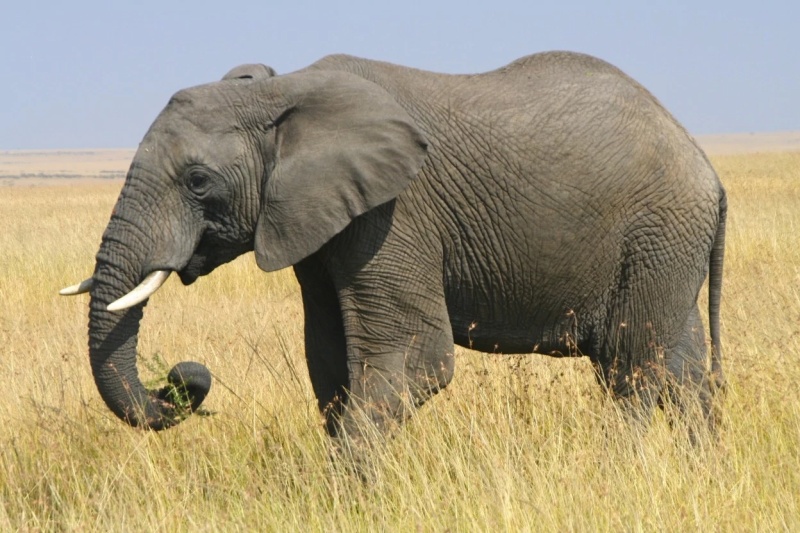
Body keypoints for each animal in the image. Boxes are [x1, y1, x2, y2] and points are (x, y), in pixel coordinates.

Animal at [62, 51, 727, 442]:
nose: (184, 376)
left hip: (656, 232)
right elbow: (330, 363)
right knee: (682, 368)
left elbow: (414, 359)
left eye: (198, 182)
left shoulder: (394, 214)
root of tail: (707, 168)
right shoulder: (318, 223)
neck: (285, 93)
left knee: (632, 366)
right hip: (667, 246)